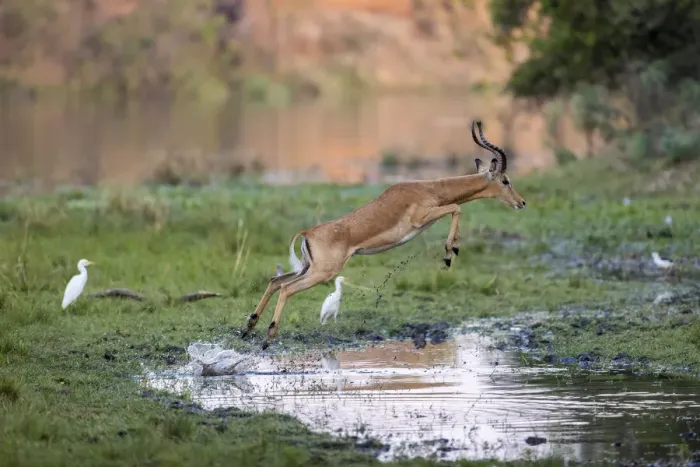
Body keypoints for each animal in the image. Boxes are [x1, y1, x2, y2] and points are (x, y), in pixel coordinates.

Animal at [242, 120, 526, 349]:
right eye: (505, 180)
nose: (522, 203)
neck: (430, 189)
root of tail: (308, 232)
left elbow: (456, 209)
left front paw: (451, 251)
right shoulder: (421, 218)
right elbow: (457, 207)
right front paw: (449, 253)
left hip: (306, 268)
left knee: (274, 281)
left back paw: (248, 327)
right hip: (321, 272)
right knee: (286, 289)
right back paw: (268, 337)